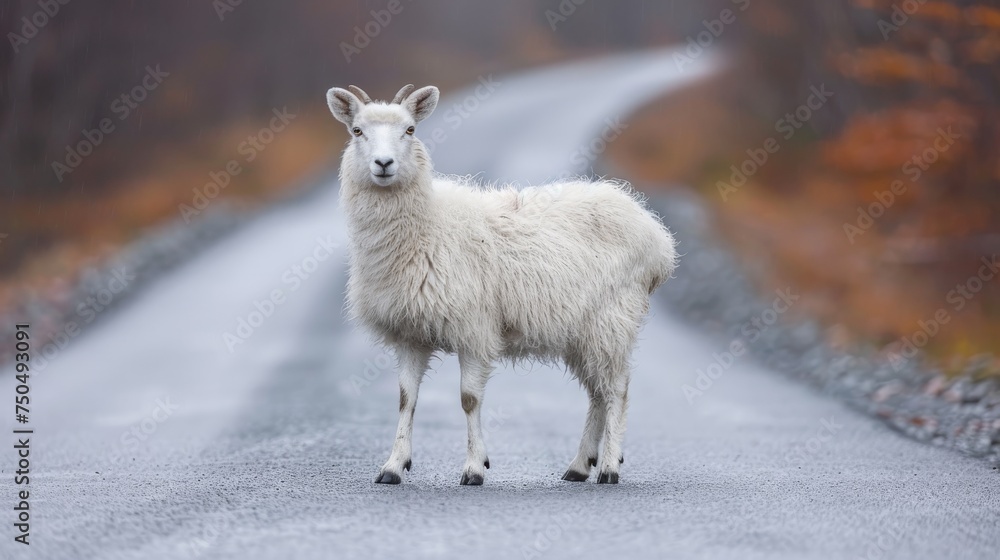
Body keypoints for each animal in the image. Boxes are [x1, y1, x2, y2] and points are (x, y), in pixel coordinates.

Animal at [326, 83, 677, 485]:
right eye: (357, 131)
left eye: (410, 130)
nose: (383, 164)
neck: (428, 226)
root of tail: (657, 236)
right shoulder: (411, 334)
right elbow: (405, 399)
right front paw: (393, 465)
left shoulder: (475, 329)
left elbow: (468, 400)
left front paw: (474, 467)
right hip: (582, 330)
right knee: (597, 393)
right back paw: (579, 464)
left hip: (612, 319)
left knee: (617, 390)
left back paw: (607, 467)